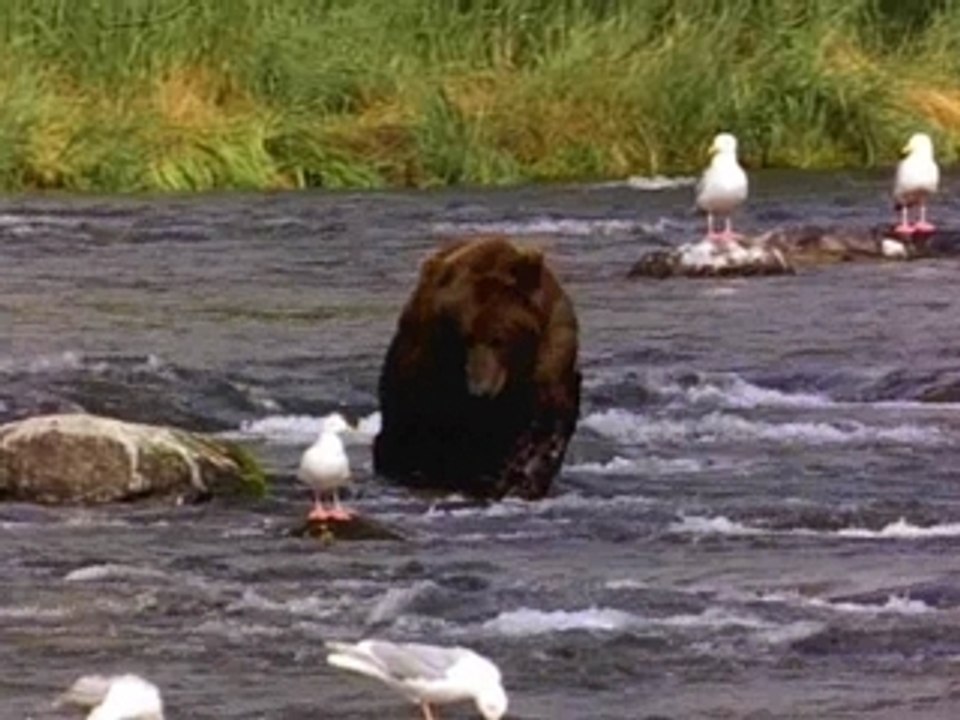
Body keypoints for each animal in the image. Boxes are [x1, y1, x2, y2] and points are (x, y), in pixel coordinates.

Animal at [373, 235, 581, 500]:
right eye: (466, 338)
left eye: (498, 339)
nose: (479, 392)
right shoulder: (432, 367)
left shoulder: (551, 355)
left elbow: (544, 424)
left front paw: (520, 478)